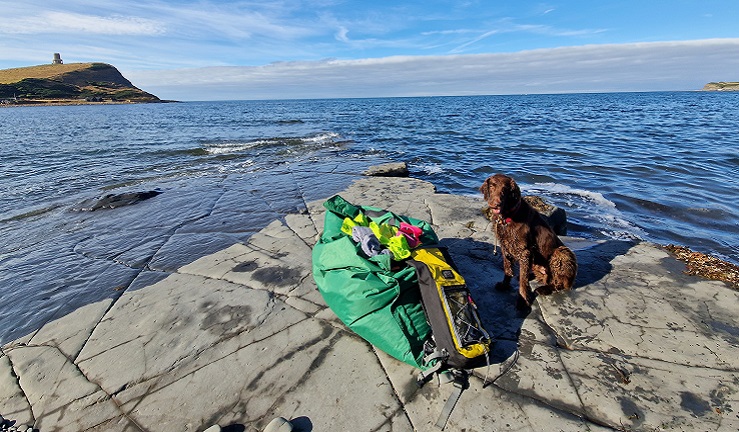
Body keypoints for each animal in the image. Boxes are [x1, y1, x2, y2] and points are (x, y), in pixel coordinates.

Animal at [480, 174, 580, 312]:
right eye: (492, 186)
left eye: (505, 189)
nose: (496, 205)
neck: (508, 217)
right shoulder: (505, 247)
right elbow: (507, 269)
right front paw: (505, 285)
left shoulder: (525, 252)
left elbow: (523, 281)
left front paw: (523, 301)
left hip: (561, 253)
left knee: (558, 285)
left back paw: (544, 289)